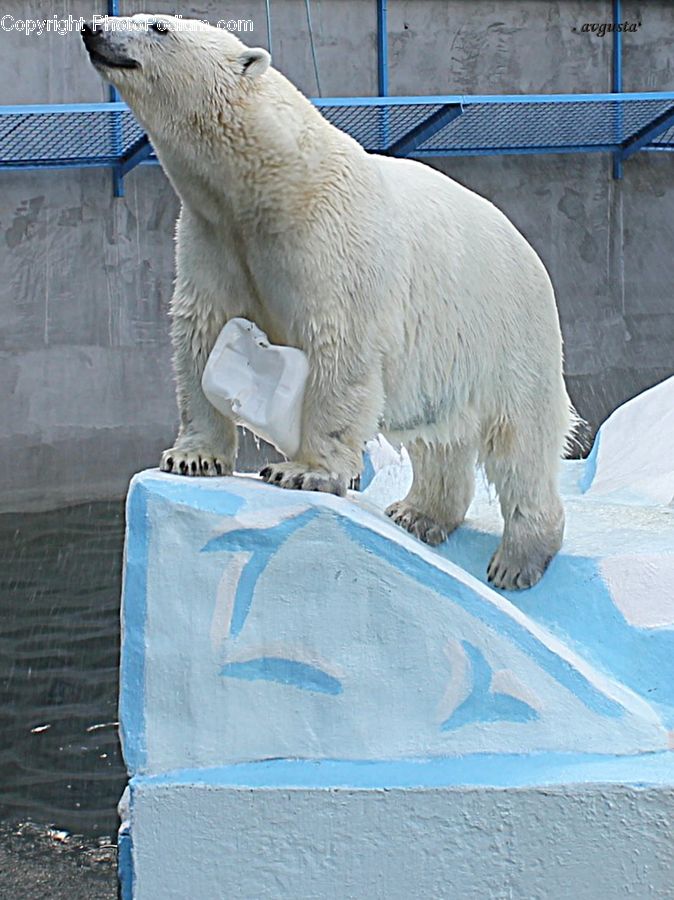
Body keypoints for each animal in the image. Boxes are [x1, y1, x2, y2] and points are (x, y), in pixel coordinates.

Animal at [82, 14, 574, 590]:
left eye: (159, 26)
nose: (93, 27)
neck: (270, 185)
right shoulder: (212, 237)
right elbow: (201, 333)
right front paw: (192, 458)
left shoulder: (331, 242)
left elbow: (340, 352)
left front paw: (301, 471)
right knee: (441, 439)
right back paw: (418, 514)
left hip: (508, 333)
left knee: (521, 444)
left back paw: (517, 558)